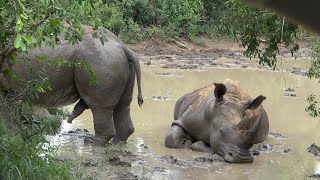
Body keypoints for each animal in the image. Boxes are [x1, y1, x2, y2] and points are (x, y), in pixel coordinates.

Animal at [2, 26, 142, 145]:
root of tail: (123, 46)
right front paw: (12, 135)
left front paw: (10, 137)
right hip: (113, 61)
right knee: (123, 104)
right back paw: (115, 145)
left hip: (100, 61)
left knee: (99, 107)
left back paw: (92, 144)